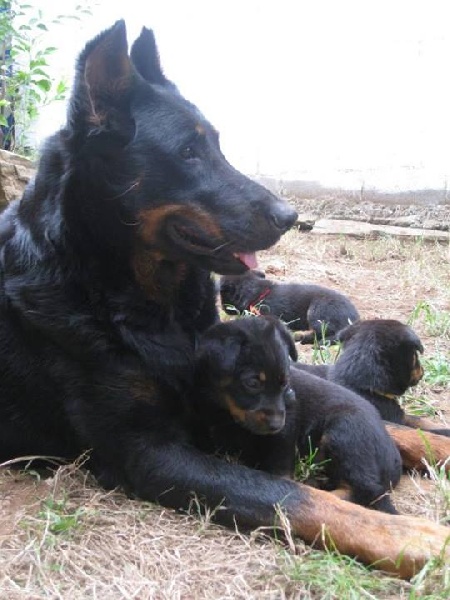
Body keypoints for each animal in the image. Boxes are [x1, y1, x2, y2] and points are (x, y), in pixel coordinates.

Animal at [191, 316, 401, 514]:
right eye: (252, 383)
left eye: (285, 382)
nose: (277, 424)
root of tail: (393, 466)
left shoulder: (285, 431)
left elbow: (280, 469)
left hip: (344, 431)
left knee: (364, 490)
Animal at [219, 269, 360, 343]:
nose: (223, 309)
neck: (257, 292)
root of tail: (355, 318)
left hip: (317, 311)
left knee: (327, 333)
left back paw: (301, 336)